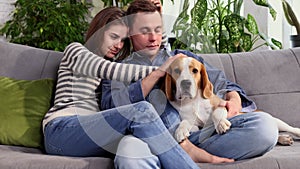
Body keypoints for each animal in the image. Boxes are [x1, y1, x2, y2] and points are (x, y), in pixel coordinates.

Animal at [164, 55, 300, 145]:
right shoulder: (194, 125)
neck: (194, 101)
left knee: (291, 129)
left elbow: (216, 113)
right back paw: (283, 139)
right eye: (176, 71)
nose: (185, 83)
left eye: (195, 71)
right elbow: (185, 122)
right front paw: (180, 131)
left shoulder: (222, 105)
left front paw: (221, 124)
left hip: (277, 121)